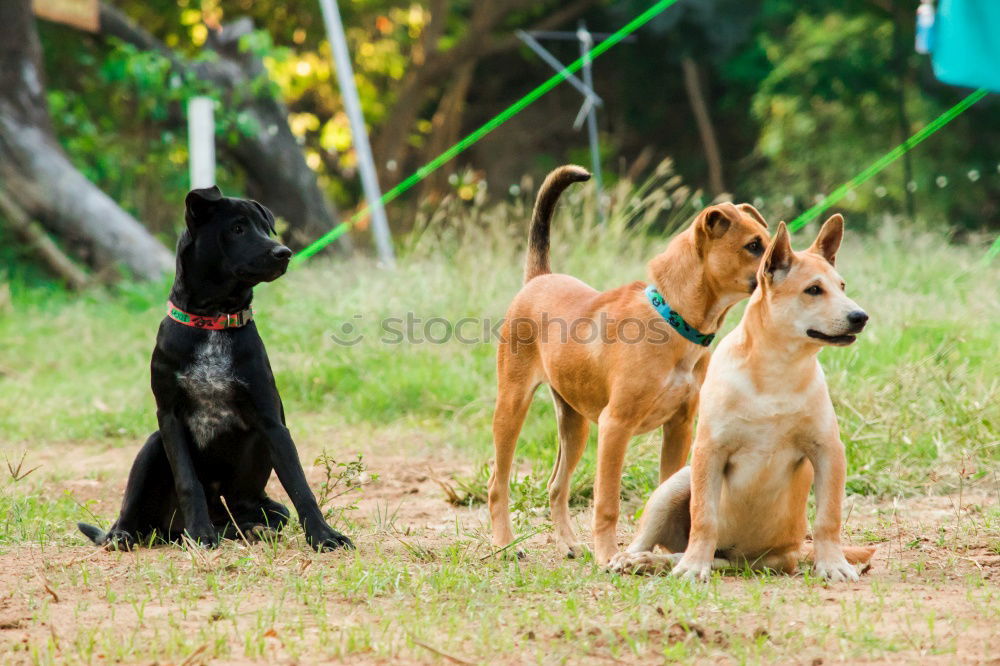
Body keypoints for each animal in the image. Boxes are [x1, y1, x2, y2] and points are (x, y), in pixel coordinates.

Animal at [79, 185, 352, 548]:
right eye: (237, 228)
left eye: (265, 228)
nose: (284, 252)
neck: (213, 321)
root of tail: (166, 532)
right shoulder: (169, 415)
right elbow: (188, 482)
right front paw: (200, 533)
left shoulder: (271, 420)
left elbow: (299, 485)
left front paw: (323, 536)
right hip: (152, 446)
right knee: (129, 514)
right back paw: (127, 534)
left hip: (262, 505)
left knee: (261, 517)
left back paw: (249, 530)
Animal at [488, 165, 768, 560]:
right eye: (753, 246)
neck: (673, 320)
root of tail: (539, 278)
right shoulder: (615, 426)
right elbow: (607, 503)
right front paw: (608, 556)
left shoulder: (680, 426)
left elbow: (667, 490)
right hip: (512, 407)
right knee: (497, 482)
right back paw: (504, 544)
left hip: (574, 424)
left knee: (556, 485)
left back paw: (569, 543)